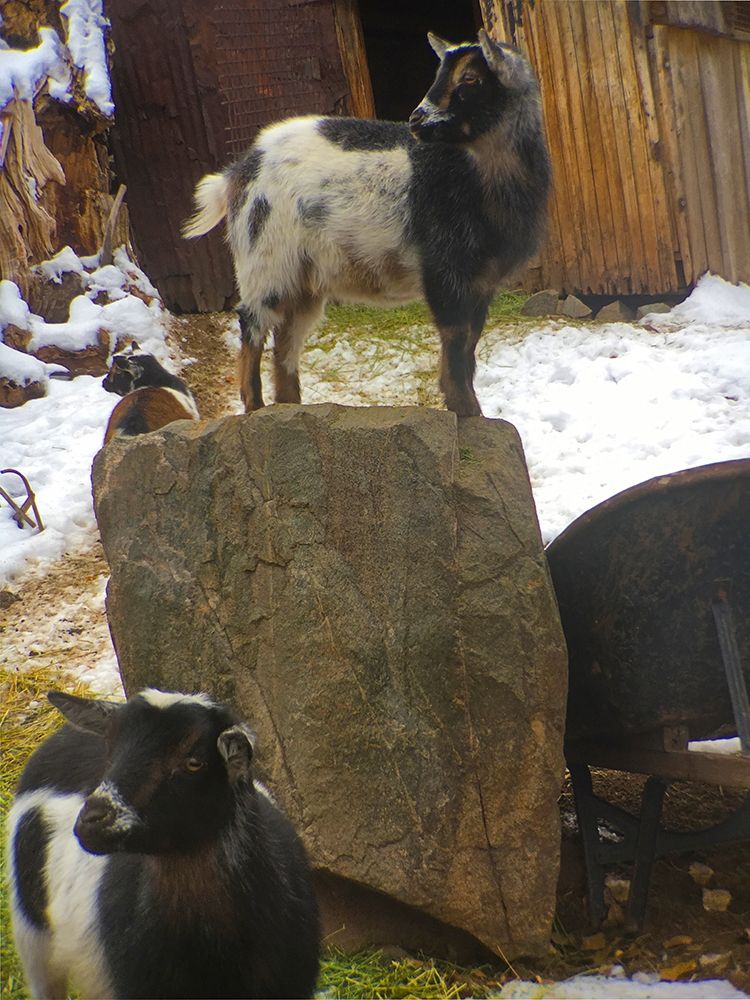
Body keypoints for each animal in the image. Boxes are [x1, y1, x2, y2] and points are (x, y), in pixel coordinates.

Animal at [183, 29, 550, 417]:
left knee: (285, 341)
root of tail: (239, 171)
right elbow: (455, 340)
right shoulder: (443, 271)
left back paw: (291, 407)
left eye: (470, 78)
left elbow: (470, 343)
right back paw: (255, 407)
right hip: (266, 259)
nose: (417, 119)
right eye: (441, 73)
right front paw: (466, 410)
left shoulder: (481, 281)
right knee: (252, 327)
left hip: (303, 281)